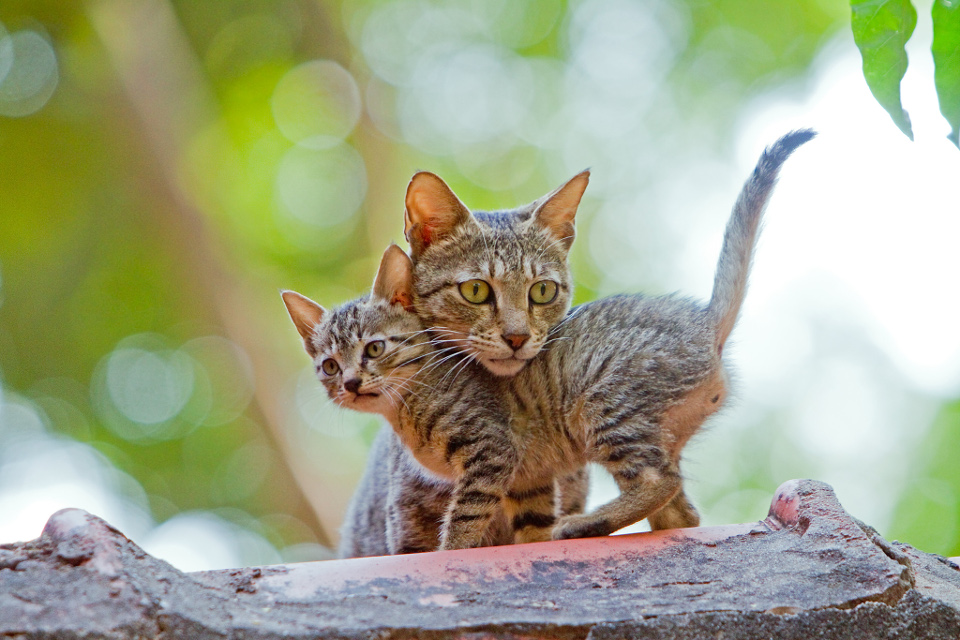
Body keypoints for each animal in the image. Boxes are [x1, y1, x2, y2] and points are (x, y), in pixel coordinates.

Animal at [402, 130, 812, 540]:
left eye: (542, 291)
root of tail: (705, 320)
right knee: (681, 512)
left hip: (606, 406)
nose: (516, 338)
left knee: (660, 481)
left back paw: (583, 524)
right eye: (475, 290)